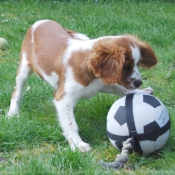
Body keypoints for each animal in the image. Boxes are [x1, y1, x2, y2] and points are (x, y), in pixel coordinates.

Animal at [6, 19, 158, 152]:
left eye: (137, 63)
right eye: (126, 66)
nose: (139, 82)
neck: (91, 73)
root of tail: (41, 21)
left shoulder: (102, 83)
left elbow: (121, 89)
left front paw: (142, 92)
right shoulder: (64, 99)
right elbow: (71, 124)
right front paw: (78, 144)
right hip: (24, 67)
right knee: (17, 91)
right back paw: (13, 112)